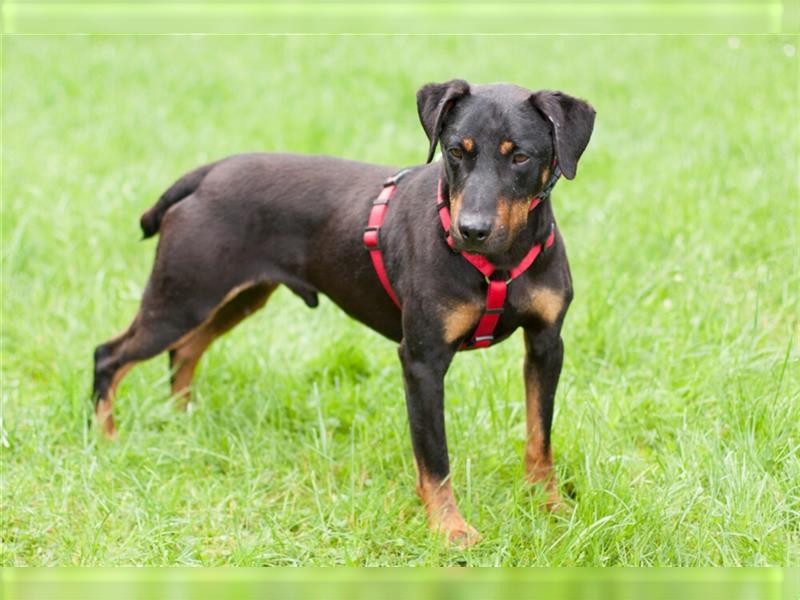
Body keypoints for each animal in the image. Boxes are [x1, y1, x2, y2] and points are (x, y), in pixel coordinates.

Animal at [92, 79, 592, 544]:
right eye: (455, 151)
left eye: (520, 157)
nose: (470, 230)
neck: (501, 263)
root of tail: (207, 174)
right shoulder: (423, 360)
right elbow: (435, 457)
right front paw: (450, 528)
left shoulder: (546, 344)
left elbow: (540, 436)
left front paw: (548, 505)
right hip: (182, 298)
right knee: (110, 355)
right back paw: (108, 440)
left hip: (235, 298)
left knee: (185, 351)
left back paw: (183, 421)